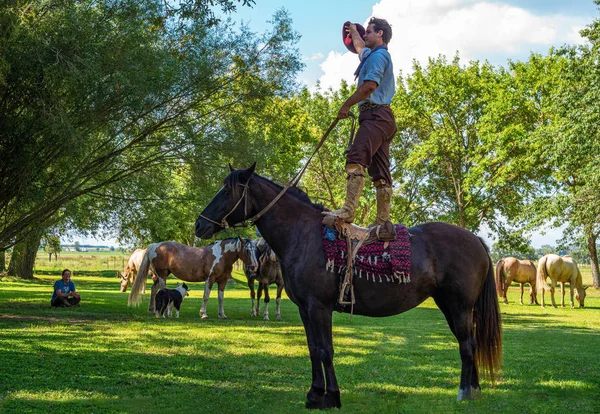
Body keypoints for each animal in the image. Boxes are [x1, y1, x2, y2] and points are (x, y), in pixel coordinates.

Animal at [126, 238, 258, 318]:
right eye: (247, 250)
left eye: (256, 250)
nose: (254, 266)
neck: (222, 255)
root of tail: (155, 245)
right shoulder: (210, 279)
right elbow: (206, 297)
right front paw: (203, 314)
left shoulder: (222, 281)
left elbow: (221, 298)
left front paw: (222, 314)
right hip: (162, 275)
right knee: (162, 291)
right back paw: (166, 313)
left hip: (161, 276)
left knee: (154, 290)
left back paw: (153, 310)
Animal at [196, 163, 502, 410]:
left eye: (227, 191)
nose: (199, 224)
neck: (304, 235)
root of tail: (476, 239)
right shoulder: (305, 309)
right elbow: (313, 349)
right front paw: (314, 394)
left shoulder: (319, 308)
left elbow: (325, 350)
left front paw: (331, 397)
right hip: (451, 306)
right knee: (469, 343)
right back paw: (474, 390)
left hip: (459, 306)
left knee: (467, 345)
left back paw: (463, 392)